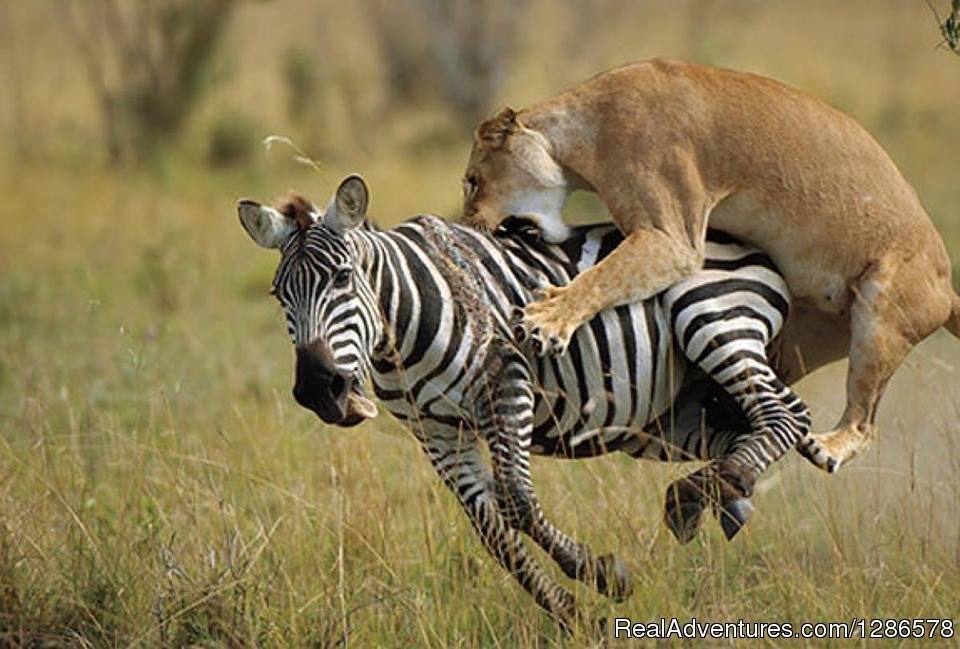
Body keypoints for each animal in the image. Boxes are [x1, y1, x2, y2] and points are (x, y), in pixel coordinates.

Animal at [236, 173, 820, 628]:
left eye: (341, 278)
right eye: (279, 295)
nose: (318, 389)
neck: (402, 322)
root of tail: (745, 241)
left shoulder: (507, 380)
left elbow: (517, 502)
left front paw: (604, 577)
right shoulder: (437, 430)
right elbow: (492, 531)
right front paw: (570, 614)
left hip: (711, 317)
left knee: (786, 414)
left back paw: (709, 491)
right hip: (667, 416)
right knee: (747, 429)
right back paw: (716, 498)